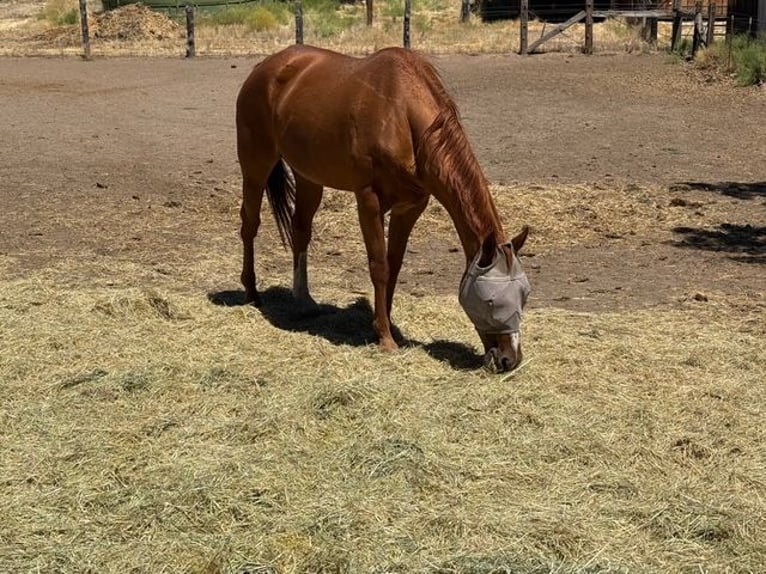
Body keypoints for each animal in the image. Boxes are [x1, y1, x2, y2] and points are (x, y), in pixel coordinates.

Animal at [235, 45, 531, 373]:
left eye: (524, 295)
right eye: (491, 301)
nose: (509, 359)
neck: (402, 116)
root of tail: (268, 66)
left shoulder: (410, 207)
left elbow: (394, 265)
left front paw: (384, 324)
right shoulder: (369, 201)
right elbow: (379, 266)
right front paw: (386, 340)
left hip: (308, 177)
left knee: (301, 230)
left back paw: (304, 301)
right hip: (256, 164)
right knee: (249, 224)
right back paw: (251, 292)